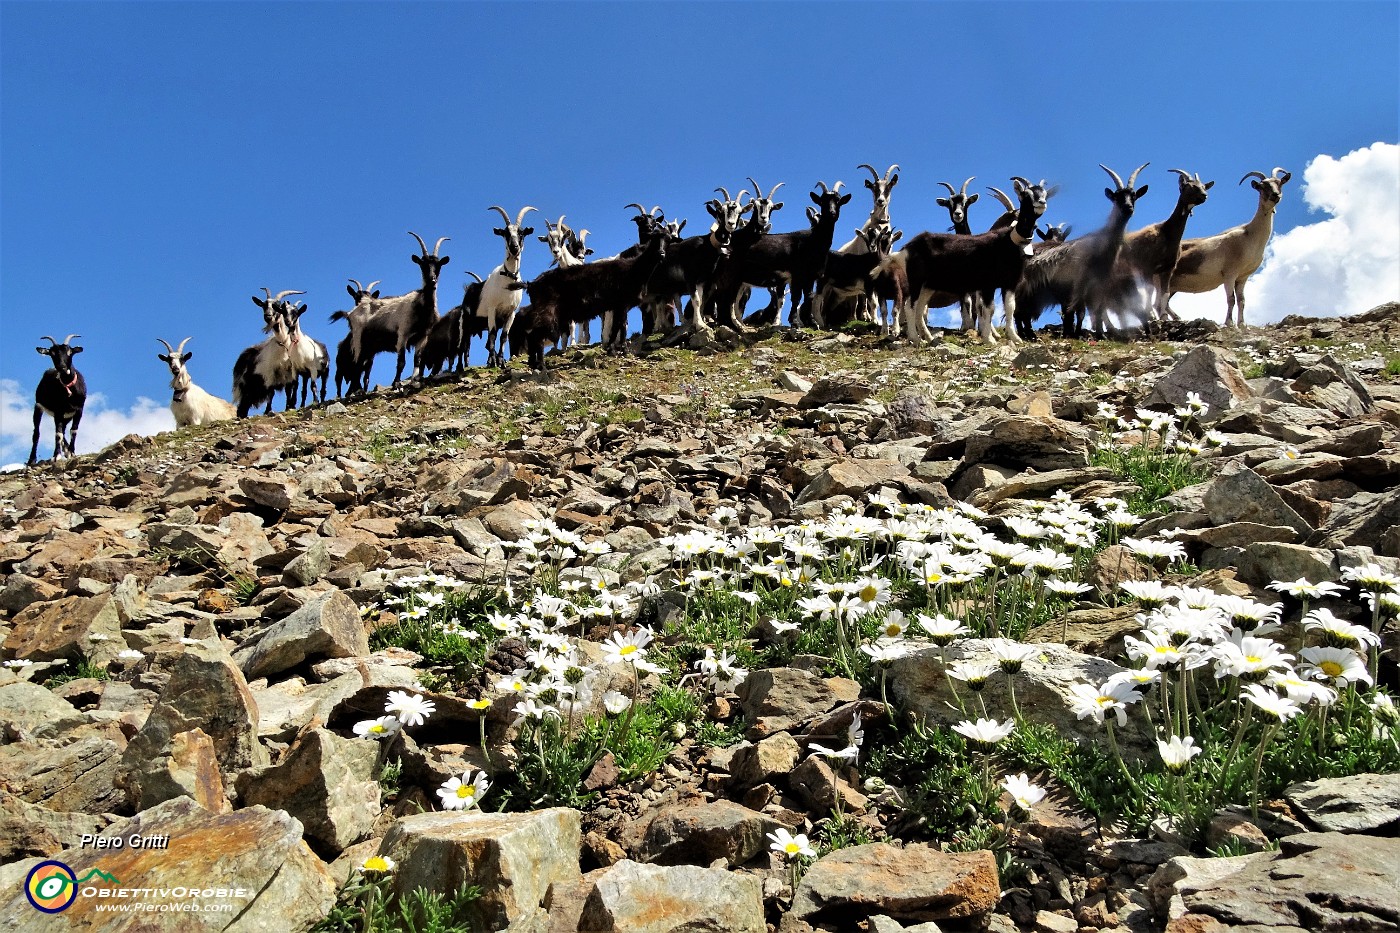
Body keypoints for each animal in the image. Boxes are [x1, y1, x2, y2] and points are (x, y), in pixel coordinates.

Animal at [28, 334, 86, 465]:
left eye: (69, 352)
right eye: (52, 353)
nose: (62, 367)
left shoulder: (79, 410)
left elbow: (73, 430)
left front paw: (71, 452)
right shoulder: (58, 411)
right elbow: (58, 434)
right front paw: (56, 456)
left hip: (67, 416)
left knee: (64, 430)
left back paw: (66, 450)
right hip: (38, 407)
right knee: (36, 433)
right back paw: (32, 460)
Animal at [473, 205, 532, 364]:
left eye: (521, 233)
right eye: (505, 233)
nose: (514, 247)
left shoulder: (510, 313)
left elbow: (504, 336)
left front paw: (501, 360)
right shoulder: (492, 309)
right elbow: (493, 334)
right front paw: (493, 360)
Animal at [1013, 162, 1153, 337]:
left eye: (1133, 196)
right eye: (1116, 196)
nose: (1128, 208)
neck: (1100, 248)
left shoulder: (1097, 288)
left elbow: (1095, 311)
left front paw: (1098, 334)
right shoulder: (1078, 286)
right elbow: (1078, 312)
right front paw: (1075, 333)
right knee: (1018, 312)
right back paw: (1026, 334)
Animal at [1159, 167, 1288, 326]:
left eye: (1279, 183)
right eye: (1262, 186)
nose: (1276, 195)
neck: (1250, 236)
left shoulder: (1243, 276)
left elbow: (1242, 300)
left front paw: (1242, 324)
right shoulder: (1229, 274)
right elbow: (1231, 299)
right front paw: (1229, 323)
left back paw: (1176, 317)